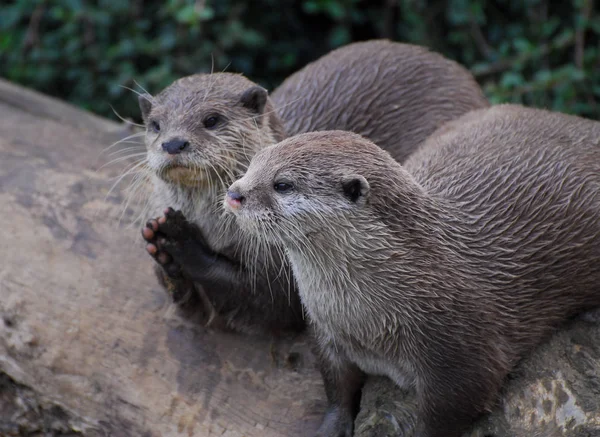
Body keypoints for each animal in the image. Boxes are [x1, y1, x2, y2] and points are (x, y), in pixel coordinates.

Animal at [135, 40, 488, 334]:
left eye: (211, 120)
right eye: (155, 125)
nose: (173, 143)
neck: (215, 229)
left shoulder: (280, 276)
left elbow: (264, 303)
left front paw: (179, 239)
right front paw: (161, 249)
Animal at [223, 104, 600, 434]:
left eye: (282, 184)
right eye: (252, 164)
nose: (234, 193)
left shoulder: (461, 355)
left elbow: (448, 411)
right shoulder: (326, 330)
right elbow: (335, 385)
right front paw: (331, 426)